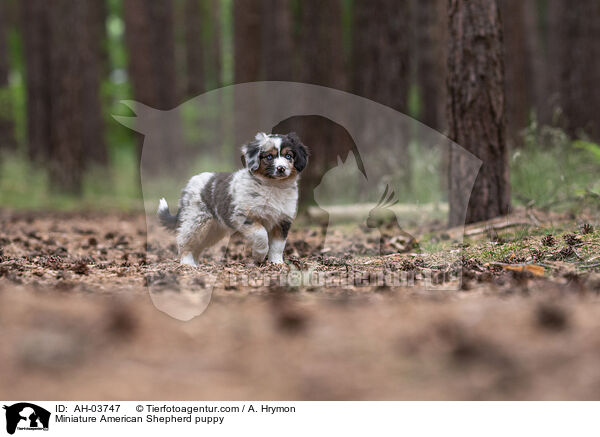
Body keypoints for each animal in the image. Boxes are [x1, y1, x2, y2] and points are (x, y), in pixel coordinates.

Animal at [157, 131, 310, 264]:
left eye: (288, 156)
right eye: (269, 157)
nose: (281, 168)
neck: (273, 186)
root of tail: (188, 186)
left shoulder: (283, 220)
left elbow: (278, 245)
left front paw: (277, 263)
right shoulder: (243, 215)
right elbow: (261, 235)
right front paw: (259, 256)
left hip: (213, 231)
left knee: (198, 246)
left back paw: (195, 264)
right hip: (196, 221)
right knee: (184, 241)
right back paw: (187, 263)